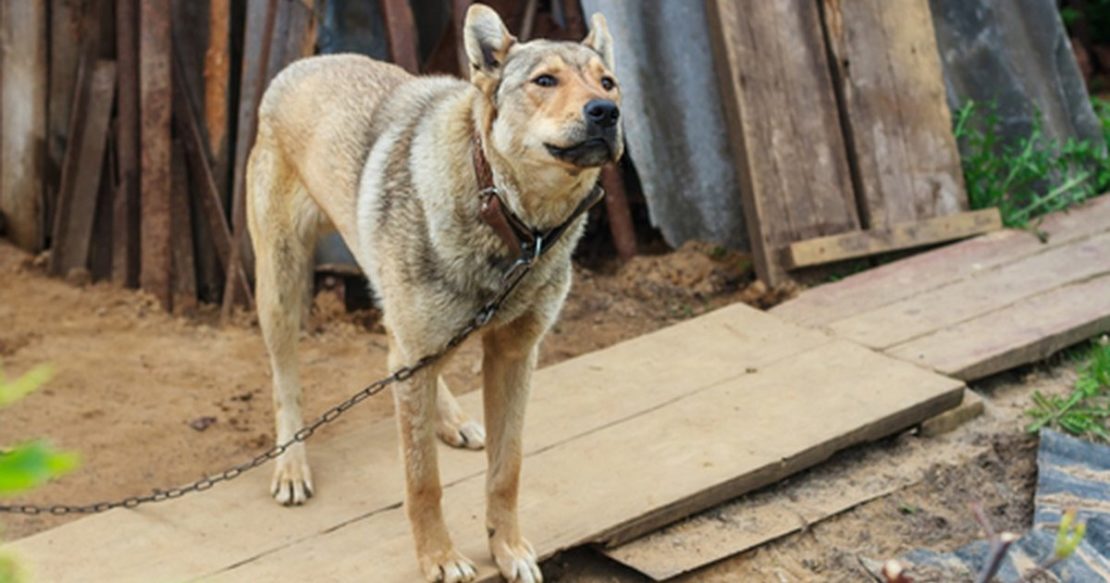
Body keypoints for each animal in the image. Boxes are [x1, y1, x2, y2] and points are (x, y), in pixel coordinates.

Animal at [246, 5, 621, 581]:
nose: (607, 112)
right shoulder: (420, 362)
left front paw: (508, 549)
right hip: (282, 289)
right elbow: (424, 482)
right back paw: (291, 465)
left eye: (608, 83)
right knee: (286, 381)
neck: (512, 221)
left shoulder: (515, 355)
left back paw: (453, 420)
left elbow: (507, 470)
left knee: (398, 350)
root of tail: (302, 64)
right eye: (545, 81)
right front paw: (440, 559)